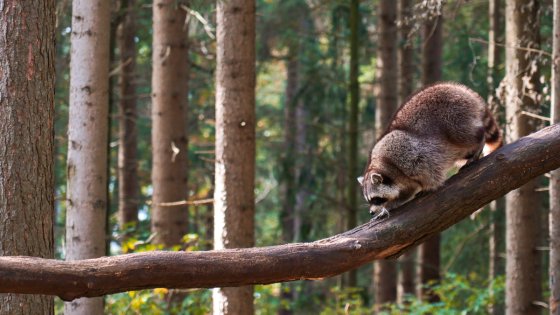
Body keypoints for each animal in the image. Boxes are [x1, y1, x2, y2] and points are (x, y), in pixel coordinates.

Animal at [358, 82, 504, 218]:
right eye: (369, 200)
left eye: (376, 199)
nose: (371, 212)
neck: (384, 166)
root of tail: (461, 89)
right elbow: (407, 191)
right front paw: (390, 205)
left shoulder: (409, 154)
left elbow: (429, 169)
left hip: (454, 115)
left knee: (466, 135)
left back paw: (479, 140)